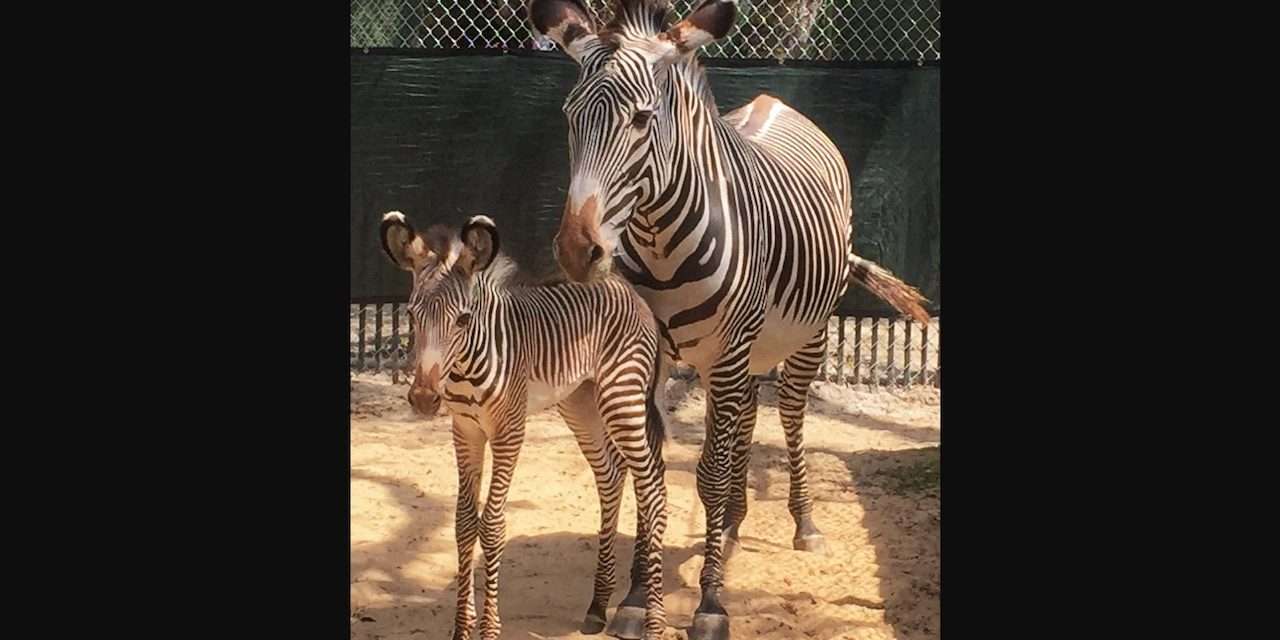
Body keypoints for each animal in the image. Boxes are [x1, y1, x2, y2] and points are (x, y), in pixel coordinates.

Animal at [524, 2, 926, 637]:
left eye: (642, 120)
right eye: (570, 118)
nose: (575, 251)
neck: (659, 244)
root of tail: (773, 101)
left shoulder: (730, 348)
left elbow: (706, 475)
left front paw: (711, 603)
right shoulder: (658, 358)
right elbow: (654, 469)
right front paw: (635, 596)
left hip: (801, 337)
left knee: (787, 415)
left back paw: (802, 523)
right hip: (741, 354)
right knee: (745, 418)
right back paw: (734, 519)